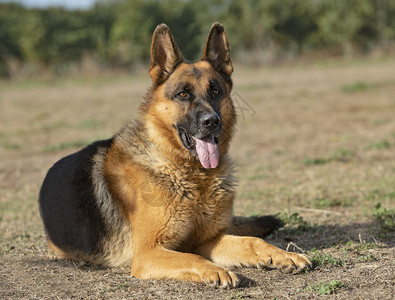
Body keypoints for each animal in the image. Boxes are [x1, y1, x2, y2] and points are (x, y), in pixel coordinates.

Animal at [40, 22, 312, 286]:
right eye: (183, 94)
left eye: (215, 92)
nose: (211, 121)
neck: (188, 173)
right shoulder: (148, 254)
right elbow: (192, 257)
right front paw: (217, 271)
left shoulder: (206, 240)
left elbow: (252, 241)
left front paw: (284, 254)